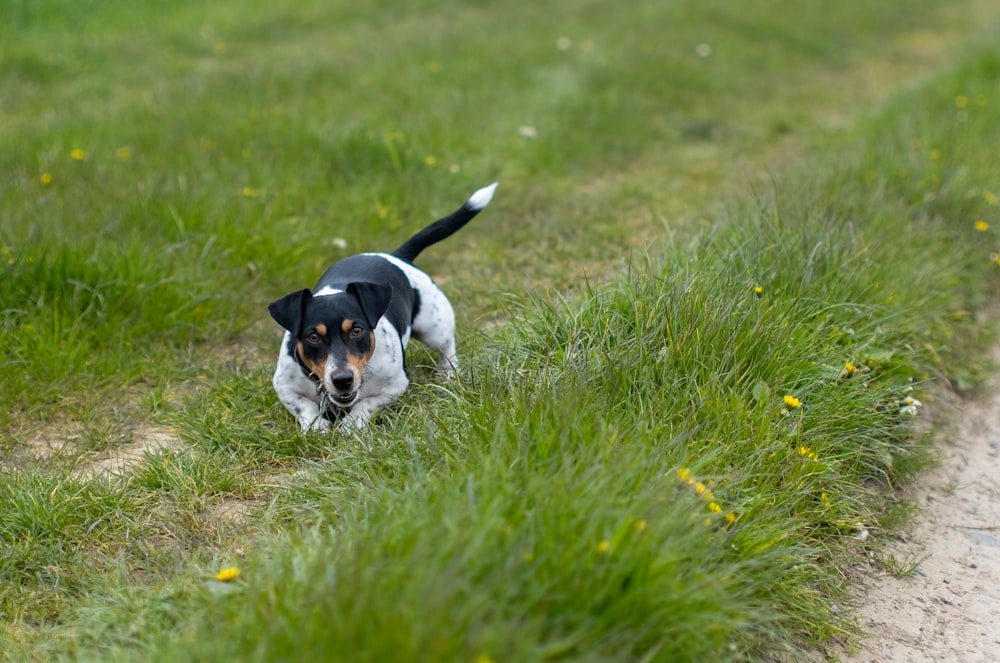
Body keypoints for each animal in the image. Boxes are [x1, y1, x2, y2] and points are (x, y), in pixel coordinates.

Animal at [268, 182, 498, 434]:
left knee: (447, 347)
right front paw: (317, 427)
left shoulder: (394, 386)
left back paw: (448, 373)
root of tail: (395, 255)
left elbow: (366, 403)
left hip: (434, 328)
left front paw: (350, 425)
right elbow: (305, 407)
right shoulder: (284, 387)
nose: (342, 380)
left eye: (357, 330)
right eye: (312, 337)